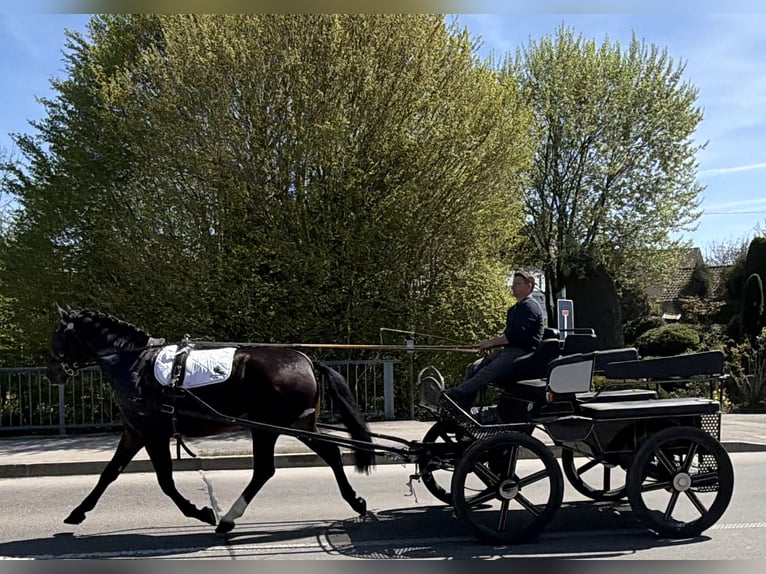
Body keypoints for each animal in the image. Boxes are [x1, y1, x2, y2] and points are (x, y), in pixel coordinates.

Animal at [46, 306, 375, 533]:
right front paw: (78, 512)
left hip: (268, 427)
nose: (53, 373)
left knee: (264, 470)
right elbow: (109, 473)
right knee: (329, 453)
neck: (135, 363)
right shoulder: (134, 432)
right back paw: (355, 500)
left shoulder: (153, 434)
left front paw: (201, 512)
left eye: (58, 335)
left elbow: (165, 481)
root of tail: (305, 360)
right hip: (298, 425)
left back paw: (227, 518)